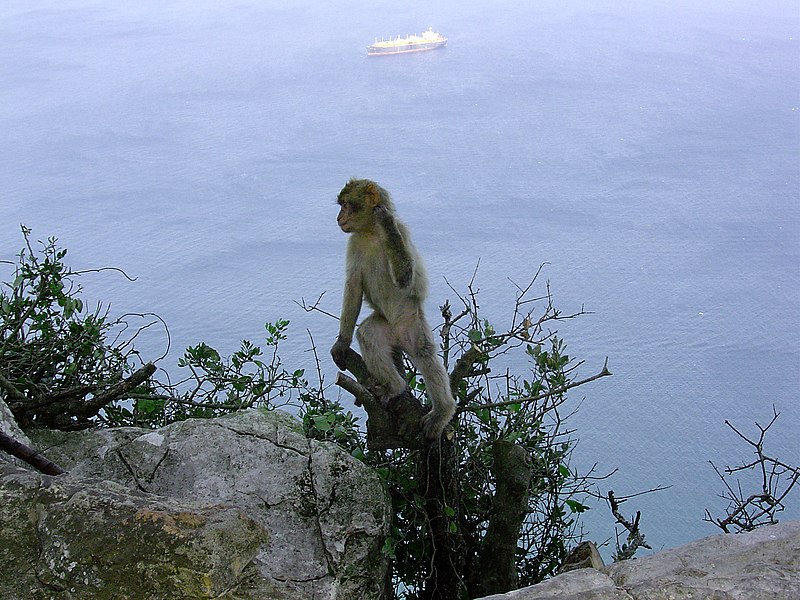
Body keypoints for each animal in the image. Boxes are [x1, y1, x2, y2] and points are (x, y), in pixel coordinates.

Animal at [332, 179, 456, 440]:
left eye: (346, 205)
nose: (339, 217)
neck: (370, 232)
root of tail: (398, 335)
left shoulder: (403, 232)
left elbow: (405, 279)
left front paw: (387, 223)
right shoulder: (353, 242)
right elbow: (354, 287)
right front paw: (341, 343)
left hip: (413, 324)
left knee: (424, 354)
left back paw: (443, 411)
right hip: (385, 326)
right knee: (368, 335)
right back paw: (395, 387)